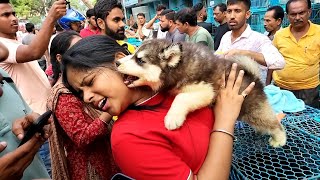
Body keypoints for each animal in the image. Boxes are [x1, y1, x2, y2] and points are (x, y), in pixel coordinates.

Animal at [116, 39, 286, 148]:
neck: (179, 66)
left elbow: (181, 97)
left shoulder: (206, 90)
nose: (117, 62)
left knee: (274, 123)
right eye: (133, 54)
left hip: (254, 110)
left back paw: (279, 139)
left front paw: (173, 117)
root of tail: (255, 77)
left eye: (140, 60)